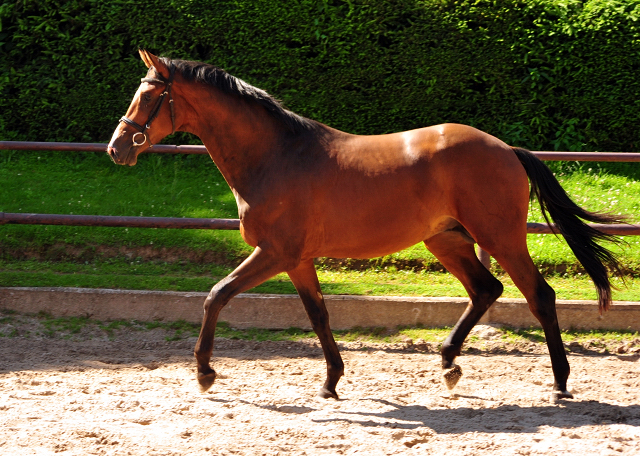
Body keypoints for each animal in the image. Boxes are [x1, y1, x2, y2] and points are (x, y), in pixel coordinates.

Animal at [107, 49, 624, 400]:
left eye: (149, 95)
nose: (117, 148)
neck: (276, 156)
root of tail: (507, 149)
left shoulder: (274, 253)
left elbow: (216, 295)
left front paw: (204, 373)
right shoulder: (297, 260)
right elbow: (318, 314)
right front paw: (331, 382)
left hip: (500, 237)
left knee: (539, 296)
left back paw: (559, 383)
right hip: (446, 240)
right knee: (486, 289)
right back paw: (448, 365)